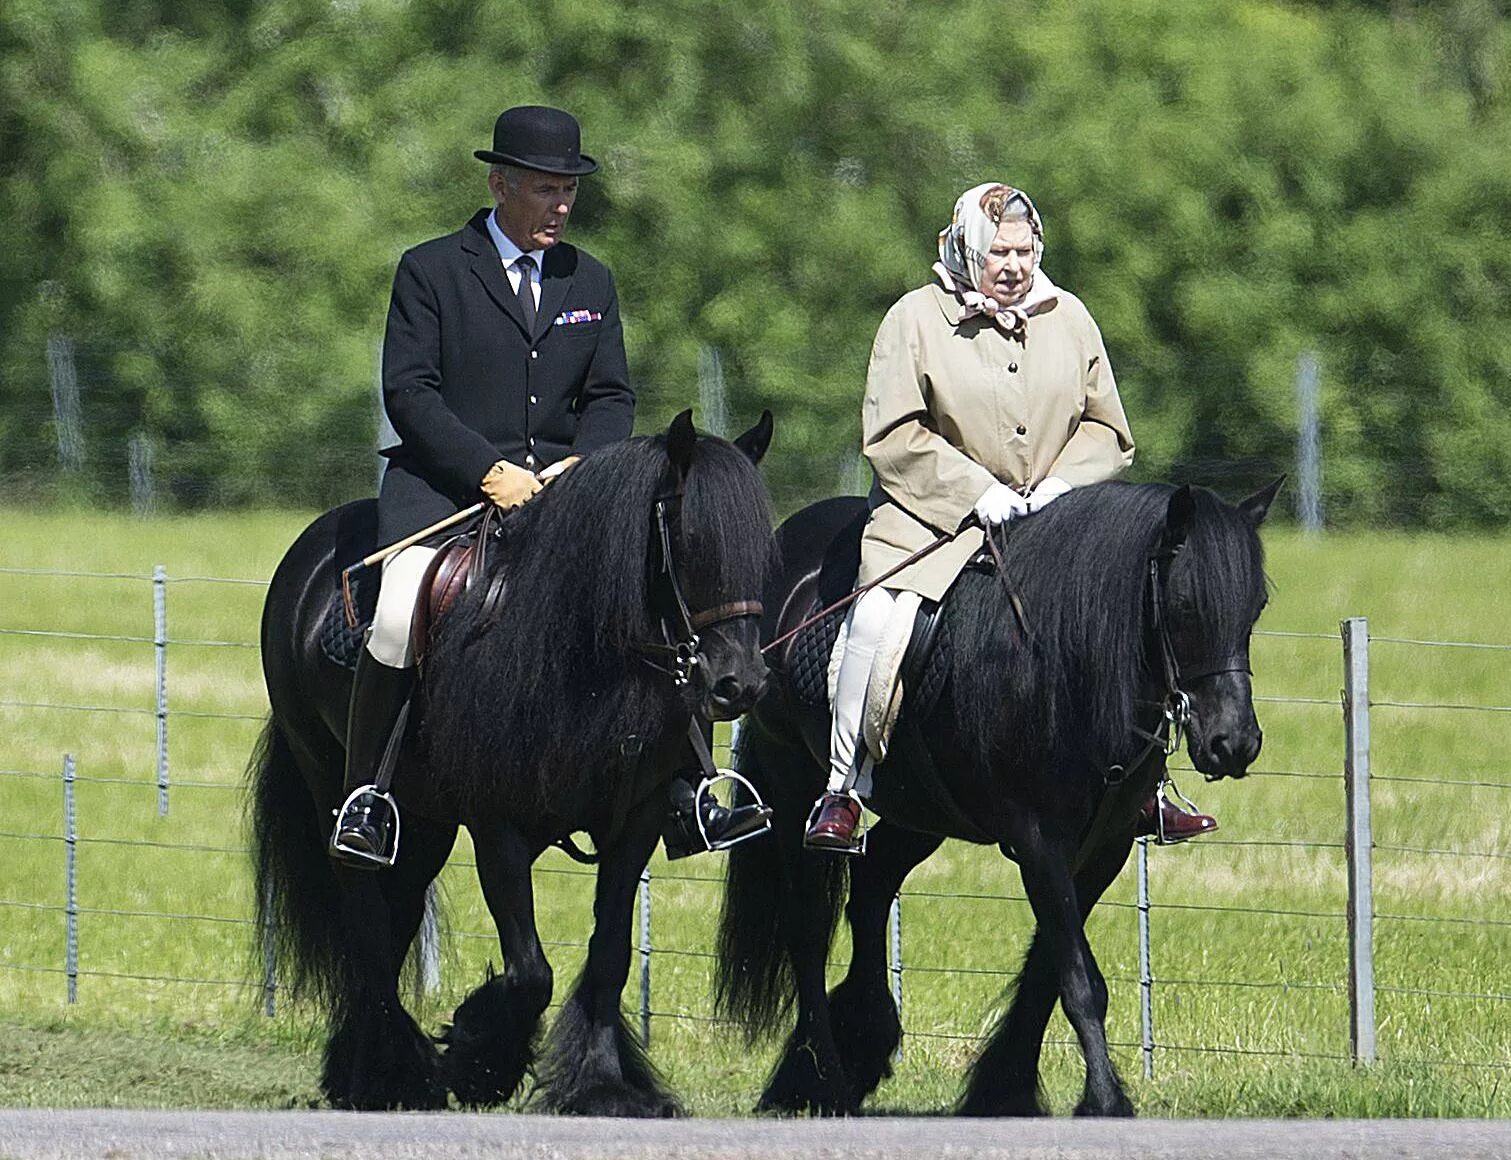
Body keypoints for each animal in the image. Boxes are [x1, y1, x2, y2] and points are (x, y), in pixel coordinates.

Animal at [253, 413, 773, 1111]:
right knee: (366, 920)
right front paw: (480, 1057)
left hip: (421, 822)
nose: (738, 685)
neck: (577, 653)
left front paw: (604, 1085)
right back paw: (390, 1074)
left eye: (761, 548)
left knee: (396, 916)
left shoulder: (635, 822)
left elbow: (608, 954)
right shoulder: (497, 824)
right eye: (689, 540)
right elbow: (531, 970)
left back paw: (370, 1066)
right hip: (331, 787)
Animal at [716, 477, 1275, 1111]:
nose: (1233, 743)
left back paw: (865, 1034)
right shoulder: (1038, 840)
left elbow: (1051, 974)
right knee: (808, 932)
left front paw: (1004, 1090)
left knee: (873, 883)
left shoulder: (1102, 846)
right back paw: (827, 1081)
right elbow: (1080, 982)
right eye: (1184, 608)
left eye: (1255, 608)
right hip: (792, 787)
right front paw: (1105, 1103)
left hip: (922, 810)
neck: (1061, 659)